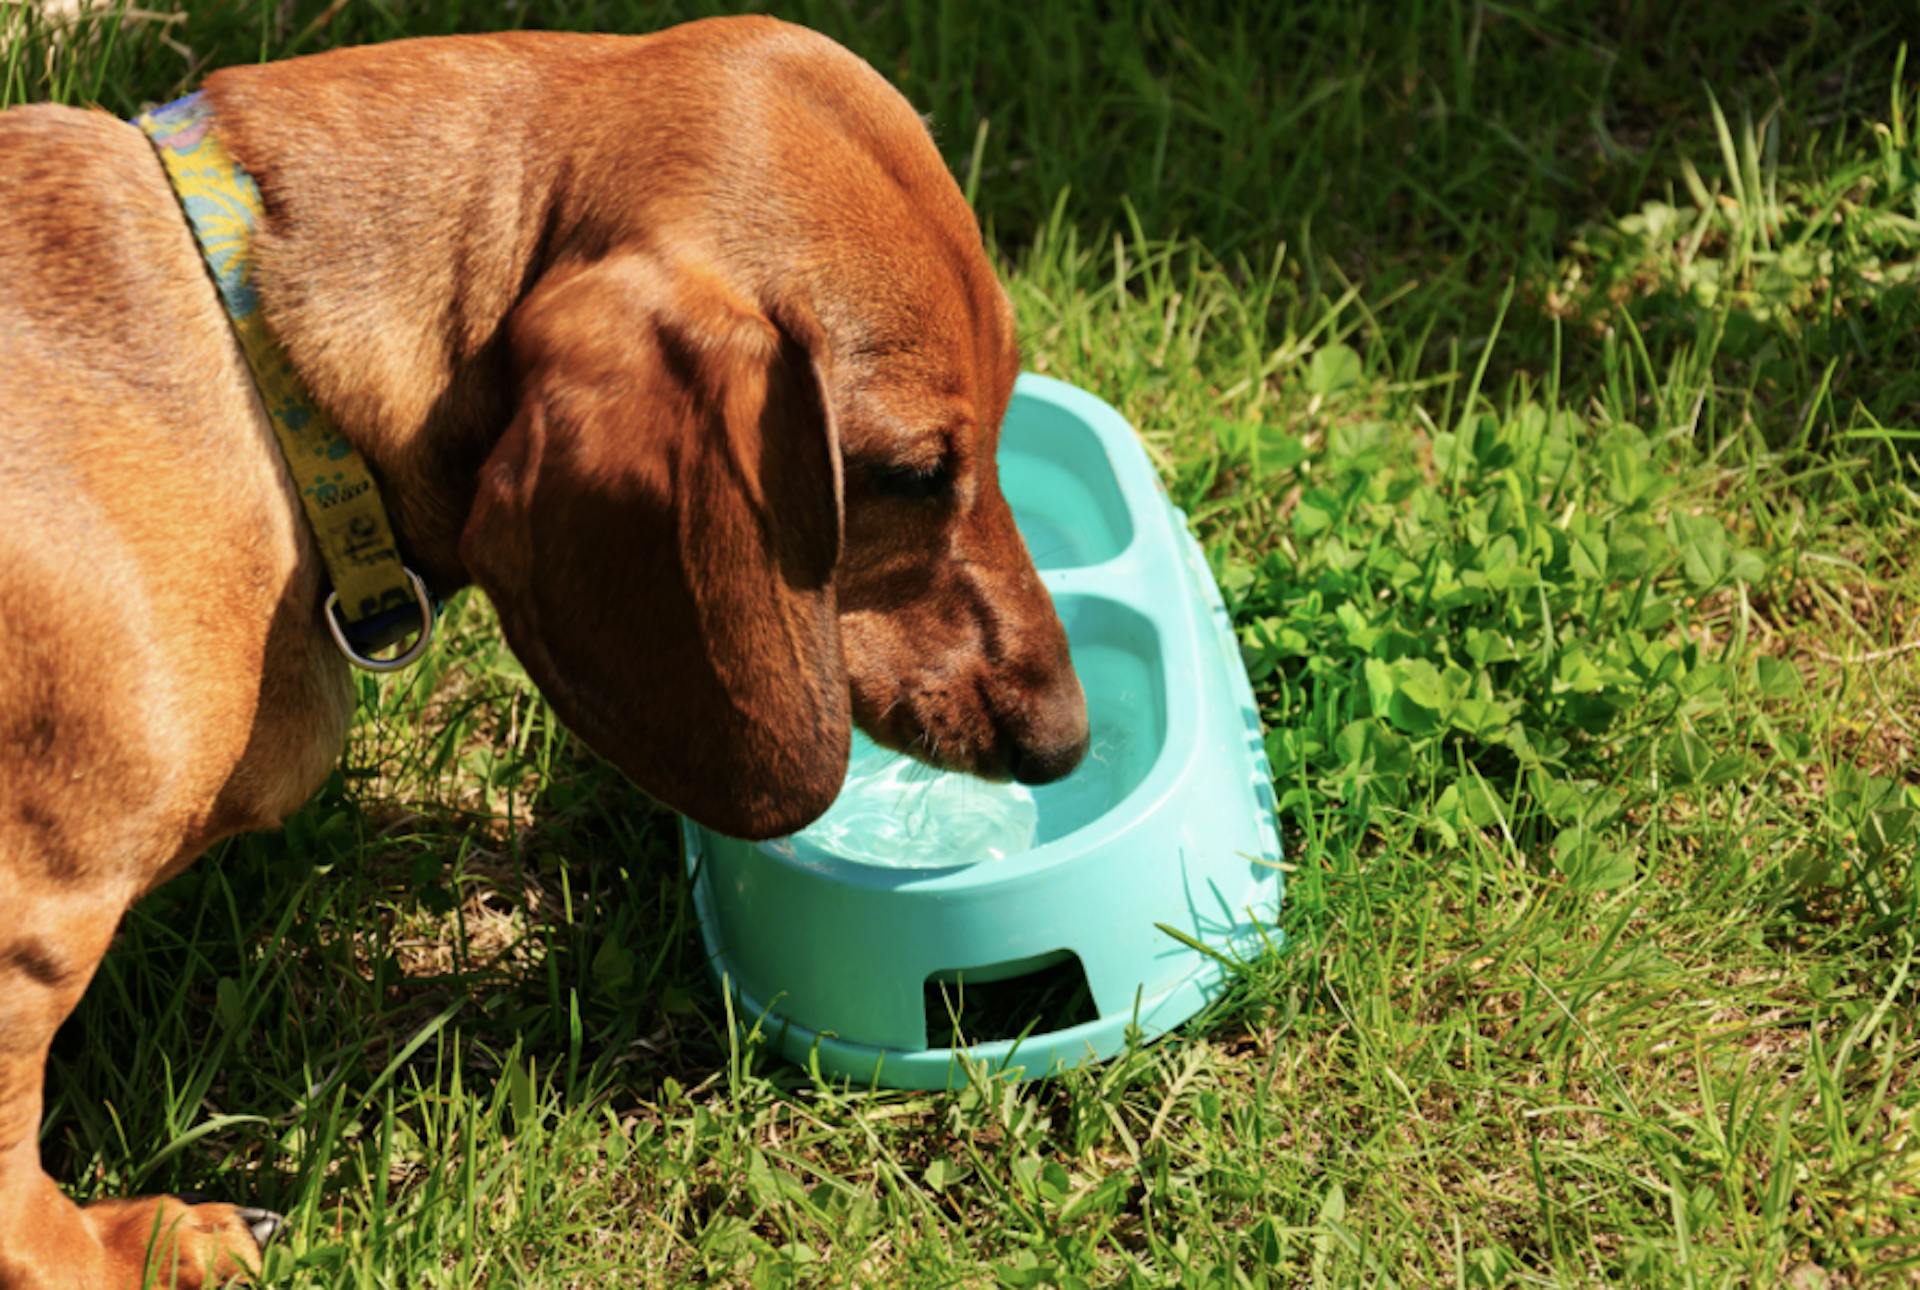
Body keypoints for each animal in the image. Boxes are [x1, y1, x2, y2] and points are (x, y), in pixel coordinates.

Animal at [0, 17, 1090, 1282]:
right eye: (911, 473)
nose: (1067, 742)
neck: (256, 364)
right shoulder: (27, 931)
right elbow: (16, 1182)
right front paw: (123, 1248)